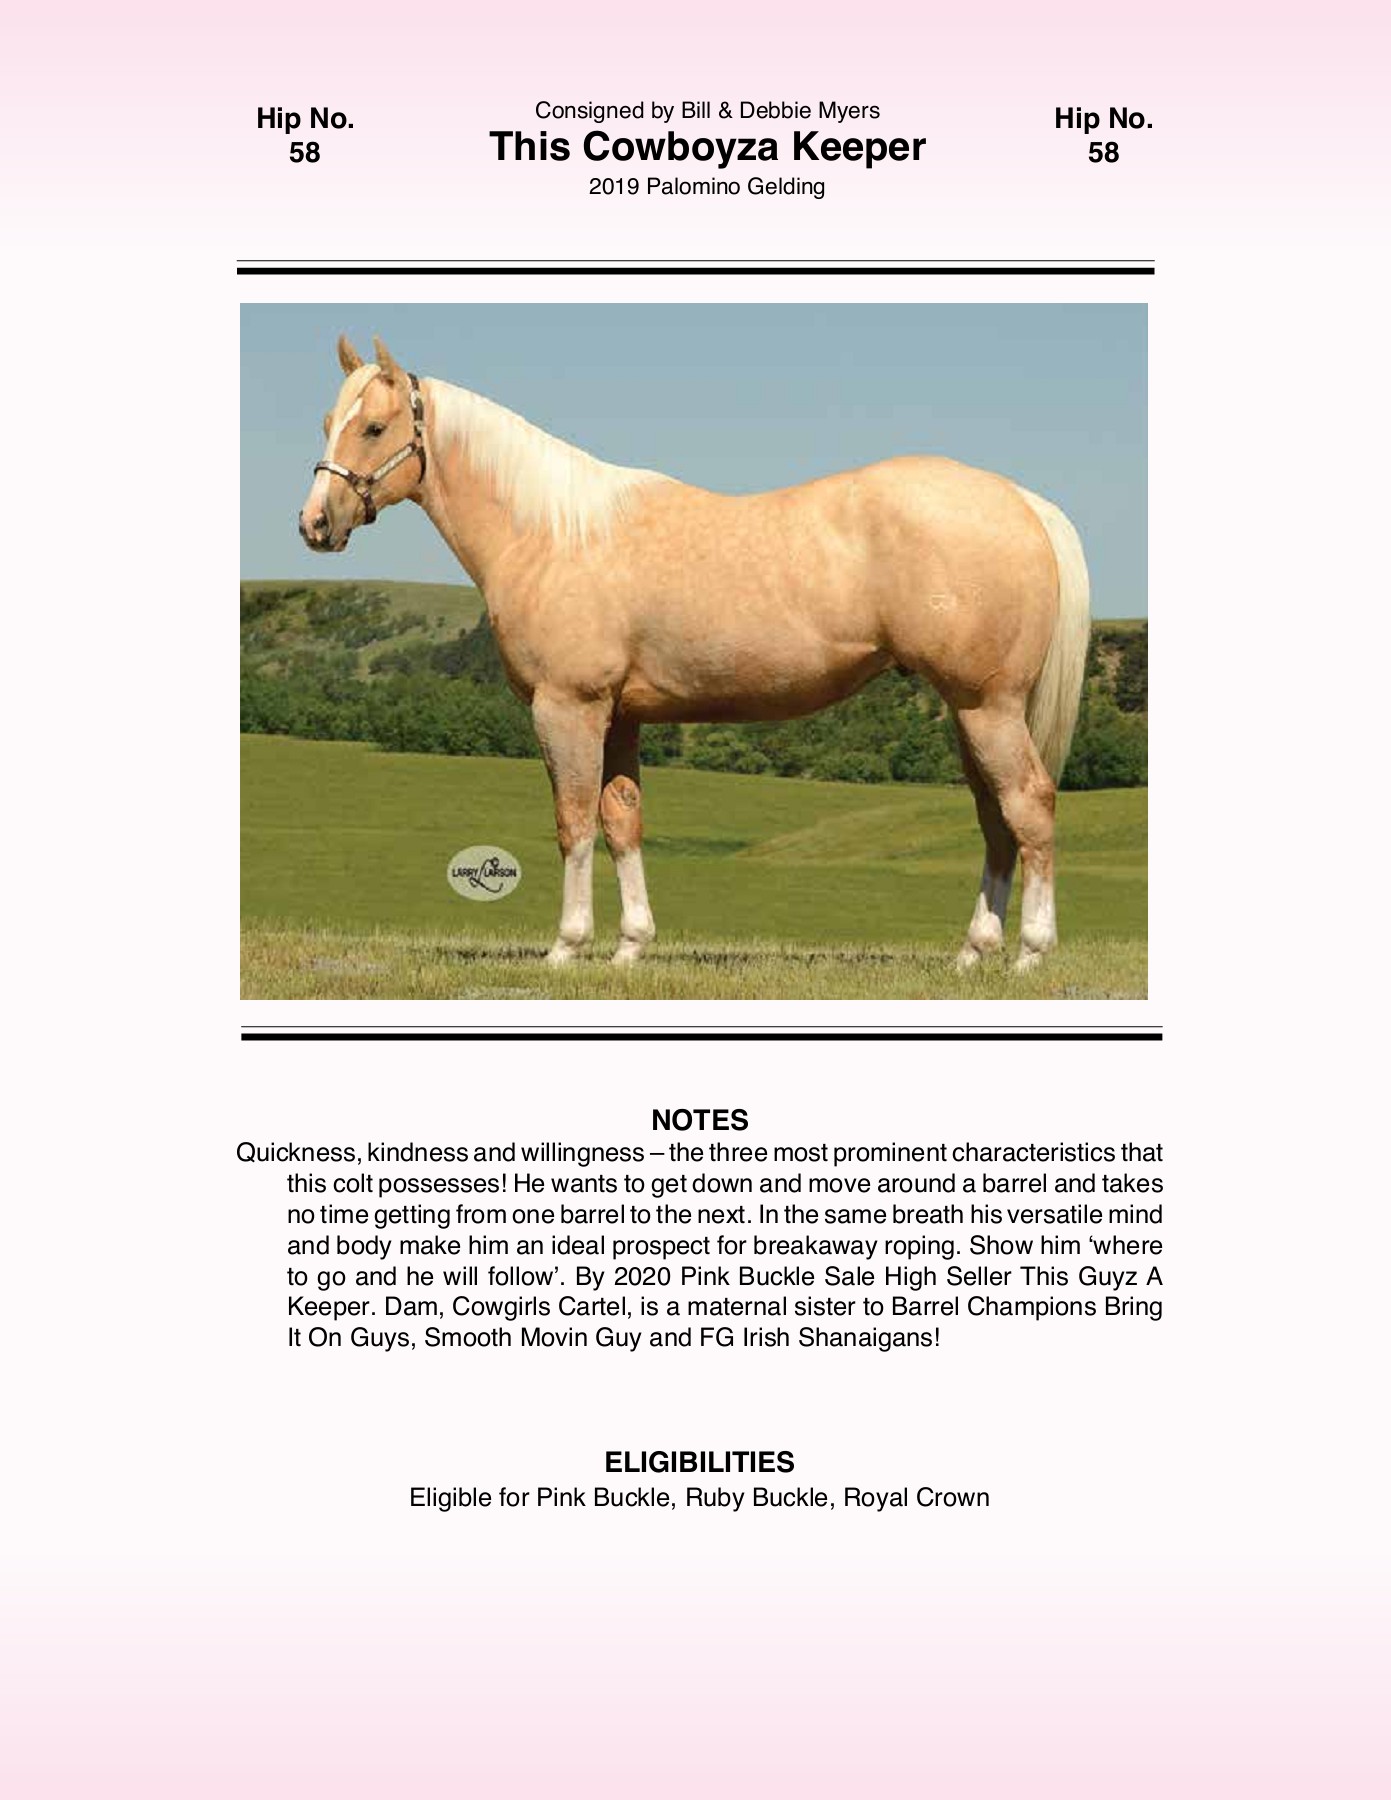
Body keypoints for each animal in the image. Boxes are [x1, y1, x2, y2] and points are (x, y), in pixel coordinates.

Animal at [298, 335, 1091, 973]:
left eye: (374, 427)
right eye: (329, 424)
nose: (314, 525)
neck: (552, 532)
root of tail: (1023, 502)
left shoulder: (568, 708)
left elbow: (573, 822)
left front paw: (566, 946)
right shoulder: (619, 716)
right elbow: (621, 823)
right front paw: (629, 947)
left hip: (985, 707)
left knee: (1028, 806)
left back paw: (1029, 953)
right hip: (972, 712)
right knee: (994, 819)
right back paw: (973, 952)